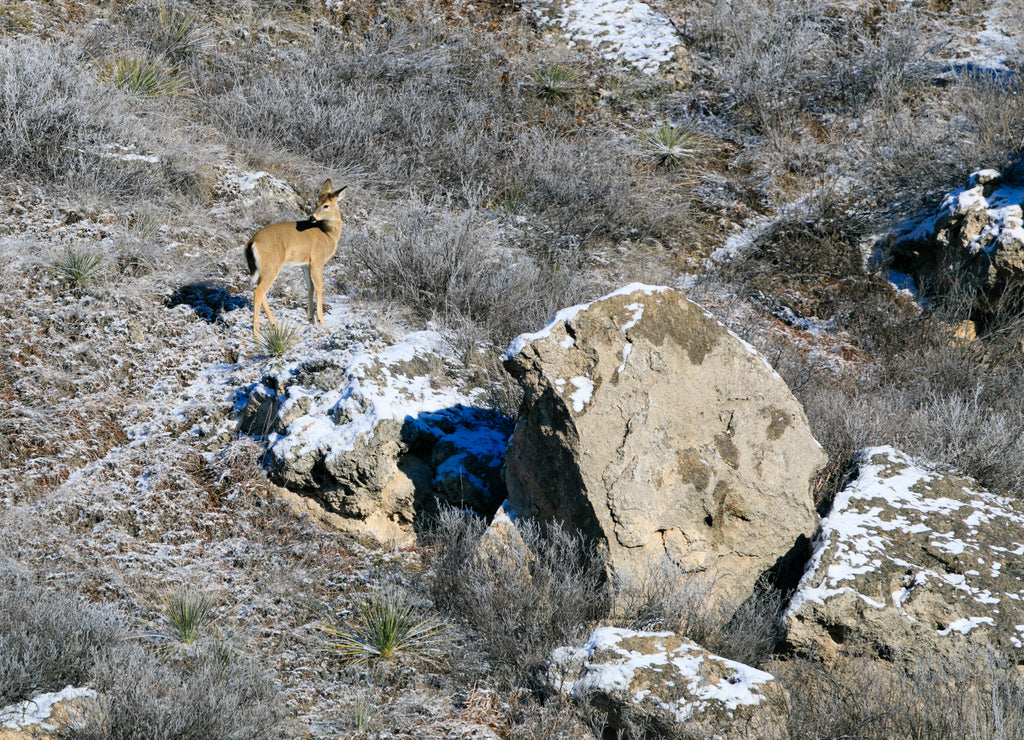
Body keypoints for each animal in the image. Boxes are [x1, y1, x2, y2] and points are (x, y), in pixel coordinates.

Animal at [245, 178, 347, 336]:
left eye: (325, 205)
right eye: (316, 203)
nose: (312, 217)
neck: (328, 235)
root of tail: (252, 242)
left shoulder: (305, 264)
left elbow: (310, 288)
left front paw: (311, 319)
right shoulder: (317, 260)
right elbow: (319, 287)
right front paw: (321, 321)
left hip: (263, 268)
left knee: (261, 292)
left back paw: (273, 323)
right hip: (271, 265)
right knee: (259, 292)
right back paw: (256, 333)